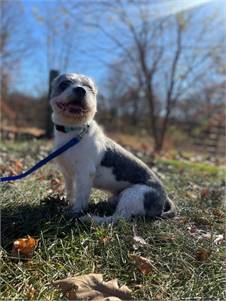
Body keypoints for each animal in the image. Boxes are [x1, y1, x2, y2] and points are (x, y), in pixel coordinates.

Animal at [50, 72, 177, 223]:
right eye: (64, 84)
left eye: (89, 88)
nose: (81, 90)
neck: (74, 130)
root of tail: (164, 199)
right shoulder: (67, 173)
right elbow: (70, 190)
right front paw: (67, 202)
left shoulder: (85, 174)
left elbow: (80, 198)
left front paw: (74, 213)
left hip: (134, 195)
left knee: (118, 218)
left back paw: (92, 219)